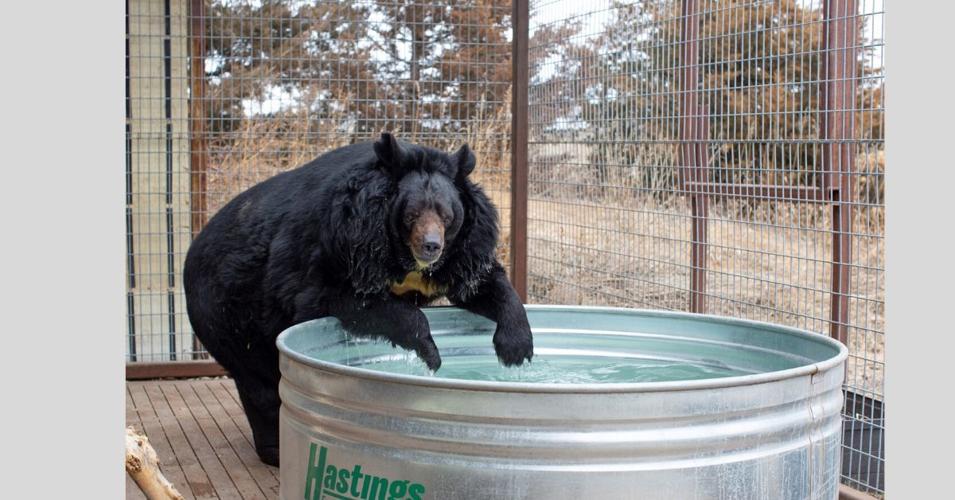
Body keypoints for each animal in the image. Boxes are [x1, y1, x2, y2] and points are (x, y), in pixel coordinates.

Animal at [183, 132, 534, 467]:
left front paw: (516, 350)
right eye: (412, 215)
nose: (431, 246)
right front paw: (431, 354)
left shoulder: (464, 248)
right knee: (260, 383)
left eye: (447, 216)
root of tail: (191, 254)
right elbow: (335, 297)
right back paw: (276, 450)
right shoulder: (339, 244)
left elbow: (480, 283)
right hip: (226, 312)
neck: (403, 258)